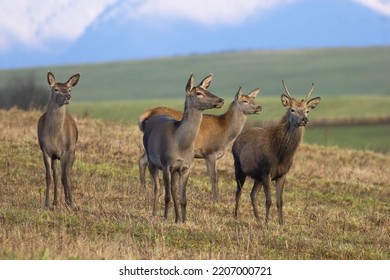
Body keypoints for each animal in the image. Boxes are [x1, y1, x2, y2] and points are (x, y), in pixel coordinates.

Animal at [37, 72, 80, 208]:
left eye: (69, 89)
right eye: (56, 89)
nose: (68, 96)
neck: (54, 137)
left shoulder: (65, 151)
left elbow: (64, 177)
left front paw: (69, 203)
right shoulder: (45, 151)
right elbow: (49, 177)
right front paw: (46, 204)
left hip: (72, 151)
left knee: (67, 174)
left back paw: (68, 201)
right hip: (55, 156)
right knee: (56, 175)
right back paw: (55, 201)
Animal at [142, 73, 224, 222]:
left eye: (207, 89)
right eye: (198, 93)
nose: (221, 100)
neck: (180, 144)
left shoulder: (185, 167)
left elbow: (183, 198)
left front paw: (184, 220)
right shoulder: (166, 164)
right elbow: (167, 195)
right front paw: (165, 218)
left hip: (174, 170)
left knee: (173, 189)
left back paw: (176, 217)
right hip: (152, 160)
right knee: (157, 188)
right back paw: (154, 214)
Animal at [232, 81, 320, 225]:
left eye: (307, 110)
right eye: (292, 109)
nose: (304, 119)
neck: (281, 155)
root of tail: (236, 140)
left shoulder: (281, 174)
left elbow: (280, 201)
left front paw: (281, 222)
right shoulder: (266, 171)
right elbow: (269, 201)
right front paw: (267, 223)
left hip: (257, 176)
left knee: (252, 194)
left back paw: (257, 219)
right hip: (239, 167)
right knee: (238, 192)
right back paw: (235, 216)